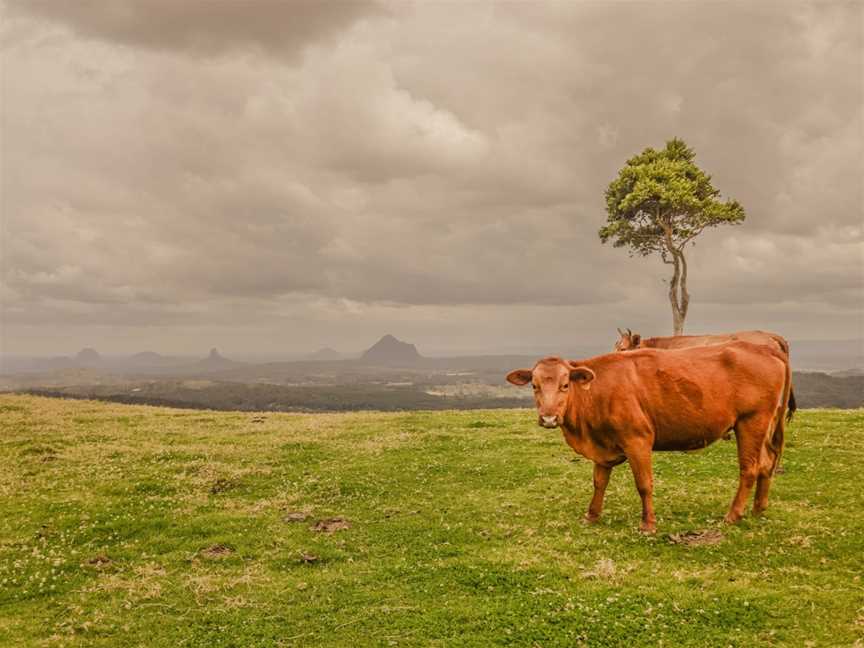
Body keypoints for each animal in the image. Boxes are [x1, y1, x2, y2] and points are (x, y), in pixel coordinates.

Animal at [506, 342, 788, 536]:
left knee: (749, 468)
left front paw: (648, 524)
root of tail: (763, 347)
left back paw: (733, 515)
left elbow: (644, 484)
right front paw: (592, 515)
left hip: (752, 421)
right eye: (534, 385)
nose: (549, 418)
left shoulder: (637, 440)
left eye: (565, 385)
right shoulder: (603, 445)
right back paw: (758, 509)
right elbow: (599, 482)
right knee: (767, 464)